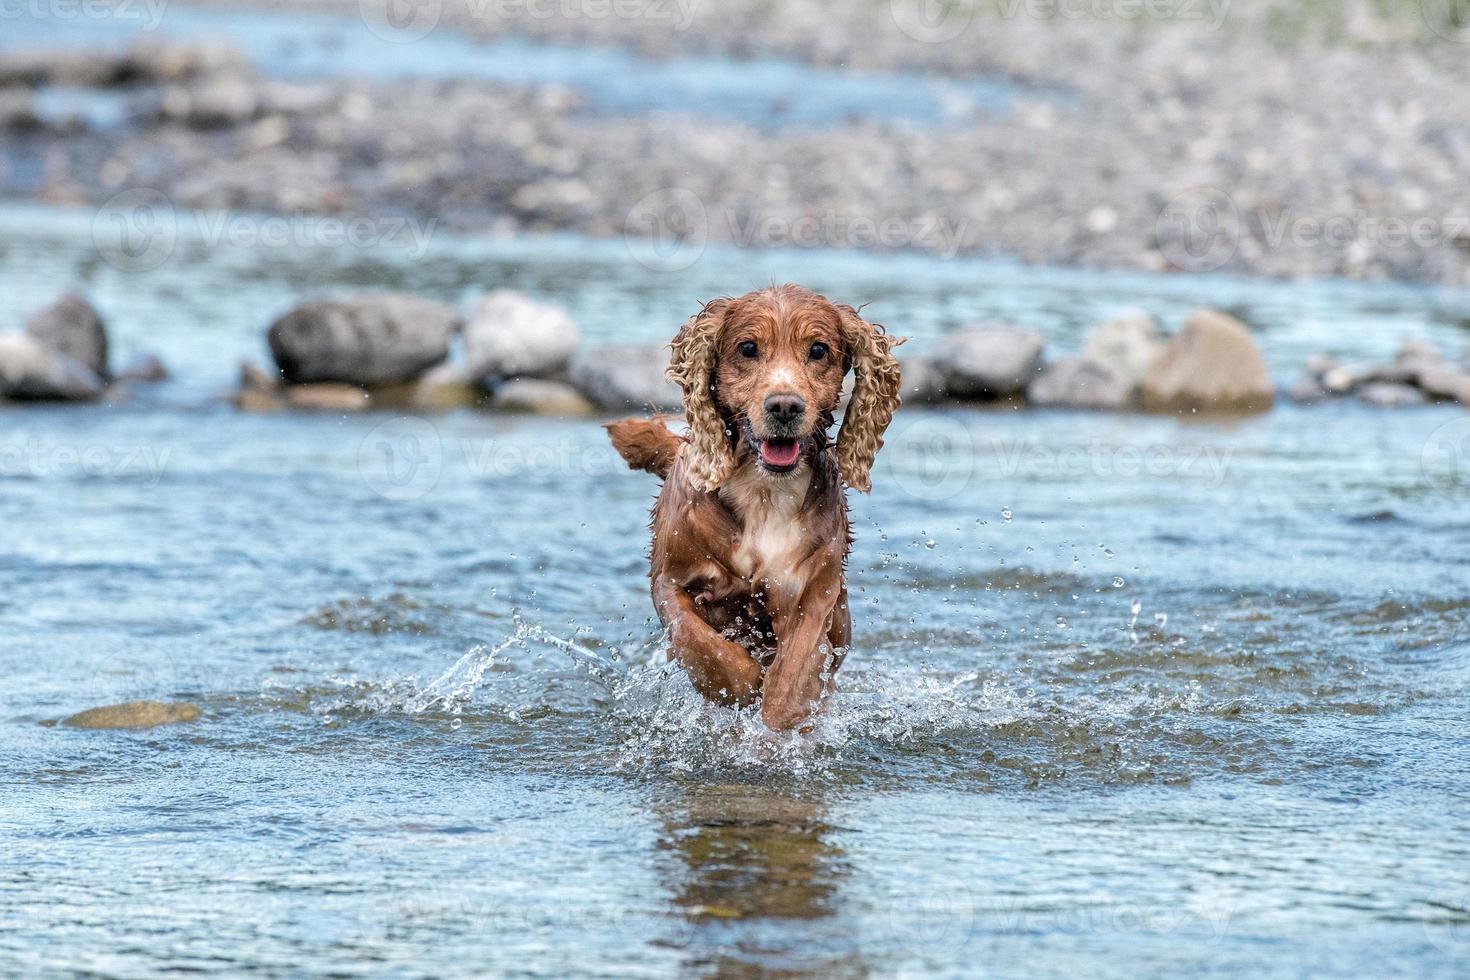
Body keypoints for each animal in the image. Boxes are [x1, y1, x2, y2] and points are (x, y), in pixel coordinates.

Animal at [605, 283, 899, 728]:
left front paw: (779, 713)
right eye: (747, 348)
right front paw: (742, 685)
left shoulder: (814, 591)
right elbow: (701, 644)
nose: (785, 406)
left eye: (818, 350)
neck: (763, 492)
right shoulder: (670, 580)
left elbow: (792, 676)